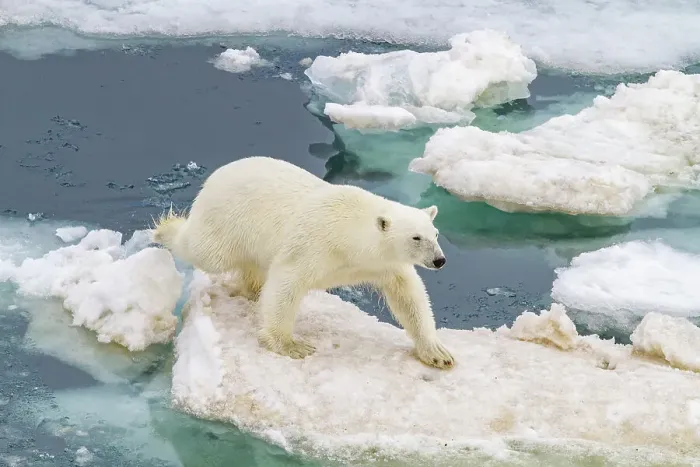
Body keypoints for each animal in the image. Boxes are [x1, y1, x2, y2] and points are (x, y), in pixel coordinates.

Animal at [153, 156, 454, 369]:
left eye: (435, 233)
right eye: (416, 237)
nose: (439, 260)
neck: (349, 234)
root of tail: (215, 176)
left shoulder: (383, 263)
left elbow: (408, 294)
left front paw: (438, 353)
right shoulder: (314, 244)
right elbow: (287, 282)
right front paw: (291, 345)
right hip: (225, 222)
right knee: (204, 251)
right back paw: (165, 229)